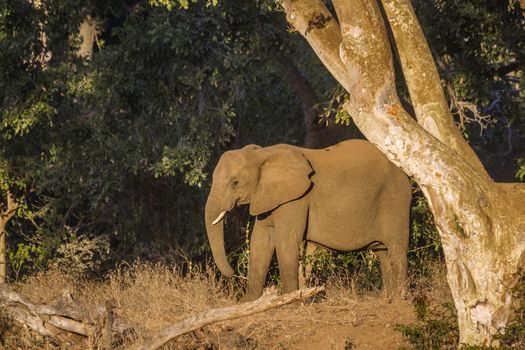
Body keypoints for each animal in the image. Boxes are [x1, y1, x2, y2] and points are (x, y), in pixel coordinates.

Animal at [203, 139, 412, 300]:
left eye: (235, 182)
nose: (232, 273)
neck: (262, 154)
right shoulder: (267, 197)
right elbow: (260, 242)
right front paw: (250, 303)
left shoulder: (297, 198)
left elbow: (286, 241)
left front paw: (289, 302)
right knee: (382, 253)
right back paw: (387, 298)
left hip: (395, 200)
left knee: (396, 248)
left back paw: (400, 299)